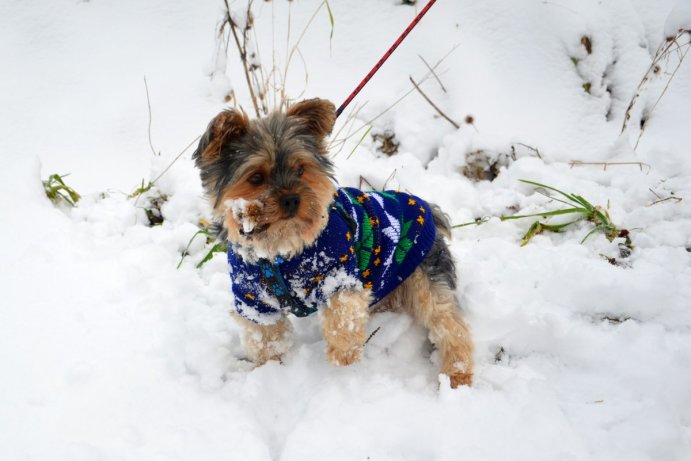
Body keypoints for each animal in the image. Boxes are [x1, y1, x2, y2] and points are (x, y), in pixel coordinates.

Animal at [195, 99, 476, 386]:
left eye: (301, 169)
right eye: (256, 177)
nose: (292, 199)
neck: (280, 249)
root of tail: (428, 209)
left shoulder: (337, 272)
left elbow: (343, 311)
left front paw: (344, 352)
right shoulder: (252, 300)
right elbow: (266, 337)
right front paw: (270, 369)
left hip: (422, 274)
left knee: (449, 324)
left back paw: (457, 375)